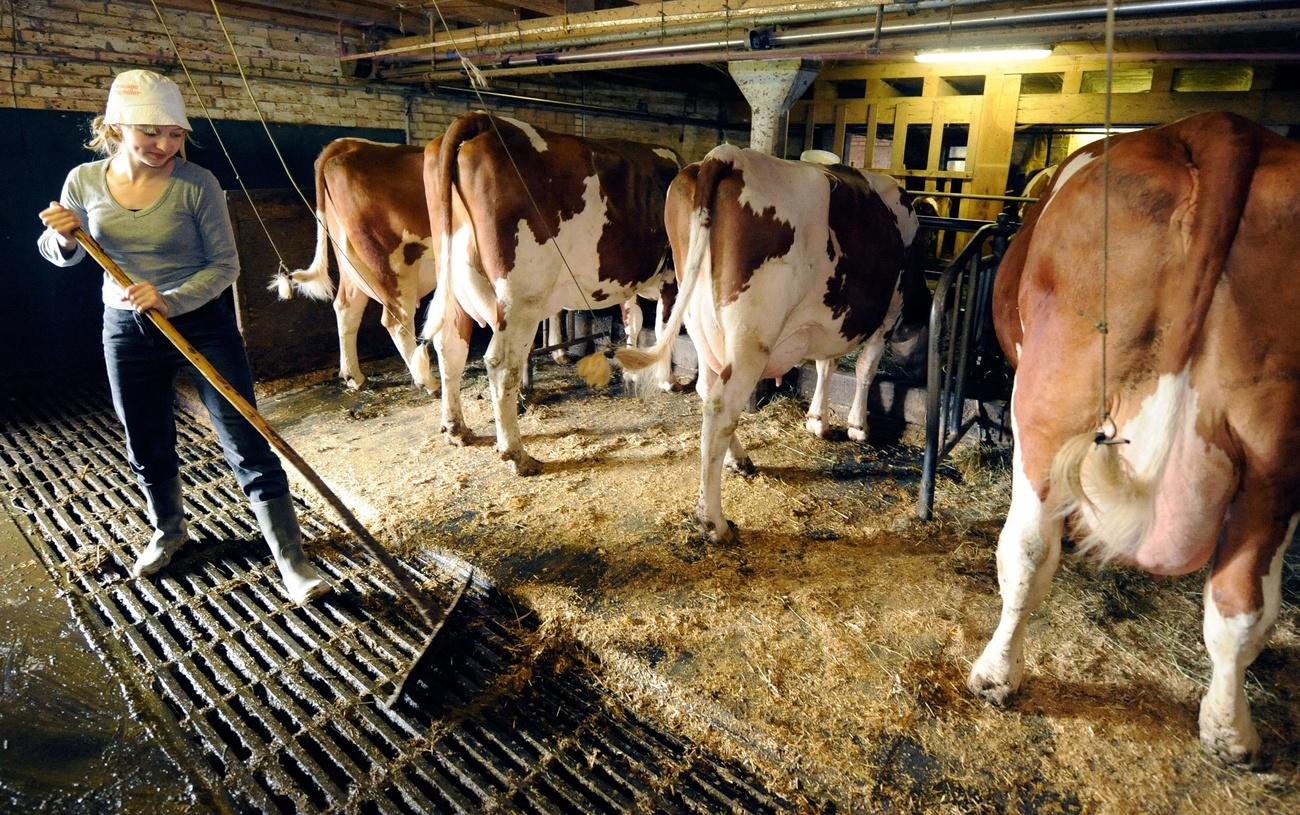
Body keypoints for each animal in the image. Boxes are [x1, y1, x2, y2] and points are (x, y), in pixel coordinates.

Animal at [421, 111, 681, 475]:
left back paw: (457, 429)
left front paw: (632, 367)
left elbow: (633, 321)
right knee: (501, 364)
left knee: (450, 347)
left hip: (455, 276)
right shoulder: (673, 276)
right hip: (521, 295)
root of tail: (483, 119)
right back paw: (516, 454)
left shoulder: (629, 280)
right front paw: (667, 381)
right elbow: (663, 327)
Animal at [616, 145, 925, 545]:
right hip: (751, 334)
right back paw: (713, 521)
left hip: (698, 317)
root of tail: (726, 155)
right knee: (722, 407)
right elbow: (864, 369)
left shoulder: (829, 320)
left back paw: (739, 461)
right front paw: (858, 426)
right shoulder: (889, 312)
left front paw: (818, 419)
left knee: (707, 389)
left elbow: (826, 365)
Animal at [967, 113, 1300, 764]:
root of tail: (1227, 128)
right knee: (1242, 606)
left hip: (1050, 405)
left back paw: (995, 676)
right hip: (1276, 459)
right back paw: (1229, 733)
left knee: (1026, 552)